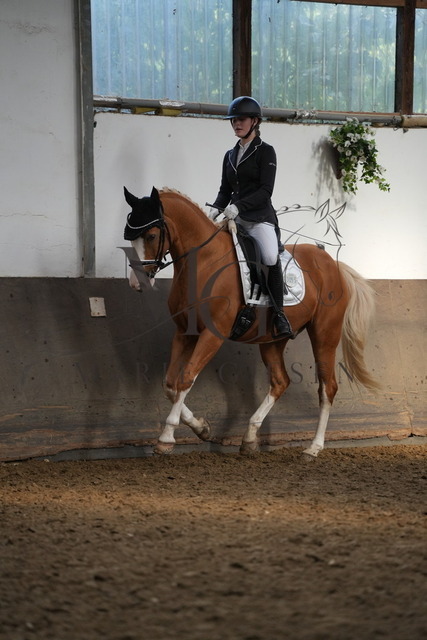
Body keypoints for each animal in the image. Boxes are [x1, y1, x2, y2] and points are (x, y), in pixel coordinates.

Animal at [123, 186, 379, 458]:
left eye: (151, 235)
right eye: (129, 238)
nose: (137, 283)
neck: (203, 261)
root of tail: (334, 265)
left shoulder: (212, 335)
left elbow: (186, 378)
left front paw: (167, 437)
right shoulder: (184, 332)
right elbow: (170, 384)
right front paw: (202, 427)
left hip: (325, 334)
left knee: (327, 386)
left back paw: (313, 448)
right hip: (272, 339)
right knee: (280, 381)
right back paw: (250, 437)